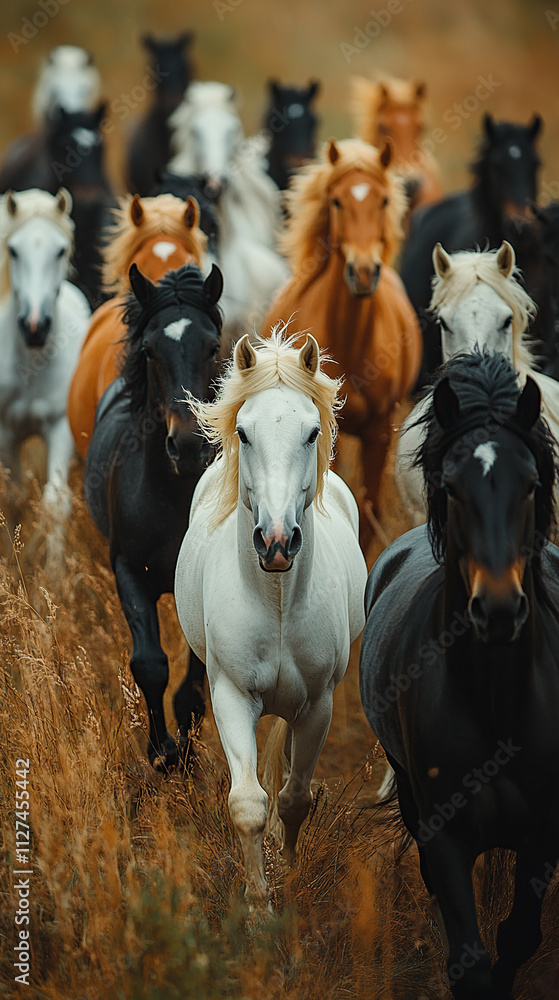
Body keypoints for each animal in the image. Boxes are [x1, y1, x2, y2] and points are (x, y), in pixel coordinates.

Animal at [84, 262, 223, 769]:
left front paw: (184, 751)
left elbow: (194, 679)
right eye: (148, 350)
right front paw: (160, 751)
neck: (173, 497)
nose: (187, 445)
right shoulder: (128, 570)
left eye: (212, 347)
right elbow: (149, 664)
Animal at [174, 330, 367, 905]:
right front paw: (259, 906)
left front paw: (292, 878)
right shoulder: (231, 695)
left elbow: (295, 798)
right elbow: (248, 805)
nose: (277, 542)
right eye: (243, 432)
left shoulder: (319, 705)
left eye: (311, 432)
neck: (277, 599)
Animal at [262, 137, 422, 548]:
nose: (363, 272)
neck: (353, 343)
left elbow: (368, 510)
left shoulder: (379, 433)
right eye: (336, 201)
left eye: (384, 200)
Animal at [359, 349, 559, 1000]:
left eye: (531, 484)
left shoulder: (544, 833)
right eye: (450, 486)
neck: (495, 702)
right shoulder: (443, 835)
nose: (496, 609)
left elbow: (519, 935)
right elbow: (468, 959)